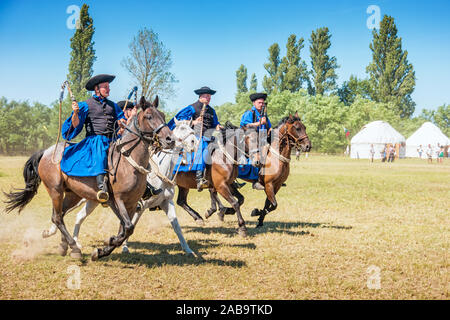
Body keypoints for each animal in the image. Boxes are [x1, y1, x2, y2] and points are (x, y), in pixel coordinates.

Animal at [3, 95, 174, 260]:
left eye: (163, 115)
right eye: (149, 116)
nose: (170, 140)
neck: (128, 162)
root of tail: (46, 152)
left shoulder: (132, 205)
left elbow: (125, 230)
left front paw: (103, 249)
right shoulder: (117, 200)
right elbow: (127, 228)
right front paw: (107, 244)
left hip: (72, 194)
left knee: (61, 215)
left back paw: (64, 246)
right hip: (55, 191)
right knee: (57, 217)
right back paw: (74, 247)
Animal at [42, 119, 197, 255]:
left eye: (191, 129)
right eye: (182, 128)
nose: (194, 143)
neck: (160, 173)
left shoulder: (166, 202)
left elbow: (176, 226)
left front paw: (188, 250)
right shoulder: (139, 206)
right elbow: (129, 225)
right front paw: (123, 247)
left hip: (89, 200)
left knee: (74, 216)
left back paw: (70, 243)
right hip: (76, 197)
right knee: (60, 214)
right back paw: (57, 236)